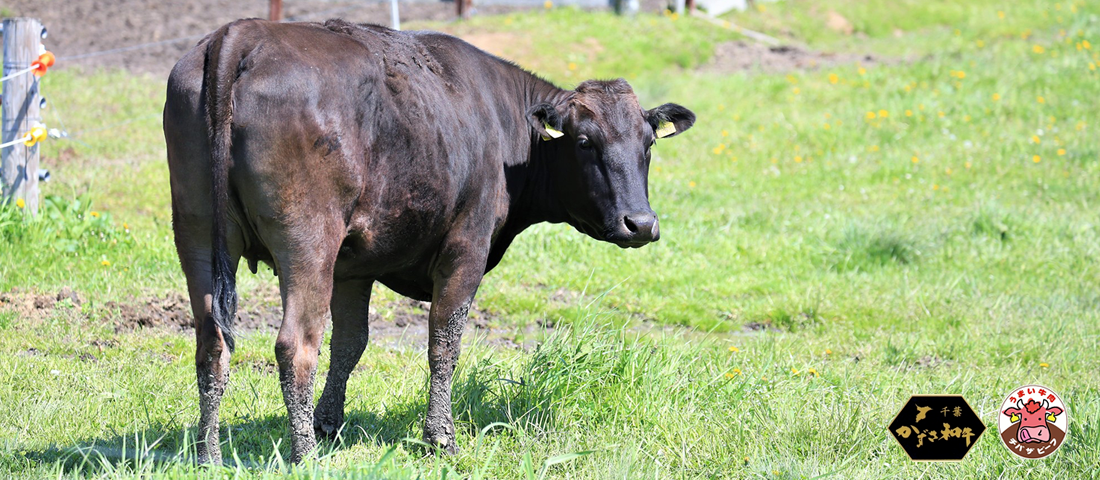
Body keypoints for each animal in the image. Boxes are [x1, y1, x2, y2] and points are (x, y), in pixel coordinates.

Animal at [162, 16, 695, 462]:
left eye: (648, 143)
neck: (501, 122)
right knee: (295, 345)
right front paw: (440, 436)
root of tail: (243, 32)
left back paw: (209, 455)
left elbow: (351, 343)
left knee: (212, 343)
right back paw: (305, 455)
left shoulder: (354, 267)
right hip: (308, 237)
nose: (640, 224)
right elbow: (445, 340)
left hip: (197, 231)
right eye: (585, 141)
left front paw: (330, 424)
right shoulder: (467, 246)